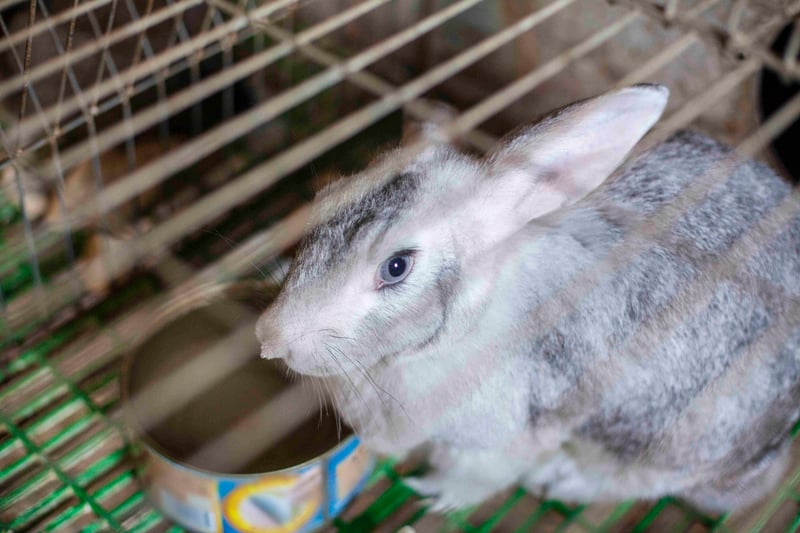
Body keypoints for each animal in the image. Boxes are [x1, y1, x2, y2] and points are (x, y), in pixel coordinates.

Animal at [255, 84, 800, 514]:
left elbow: (476, 475)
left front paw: (434, 494)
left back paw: (561, 481)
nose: (270, 339)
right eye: (322, 200)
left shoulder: (502, 438)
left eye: (397, 266)